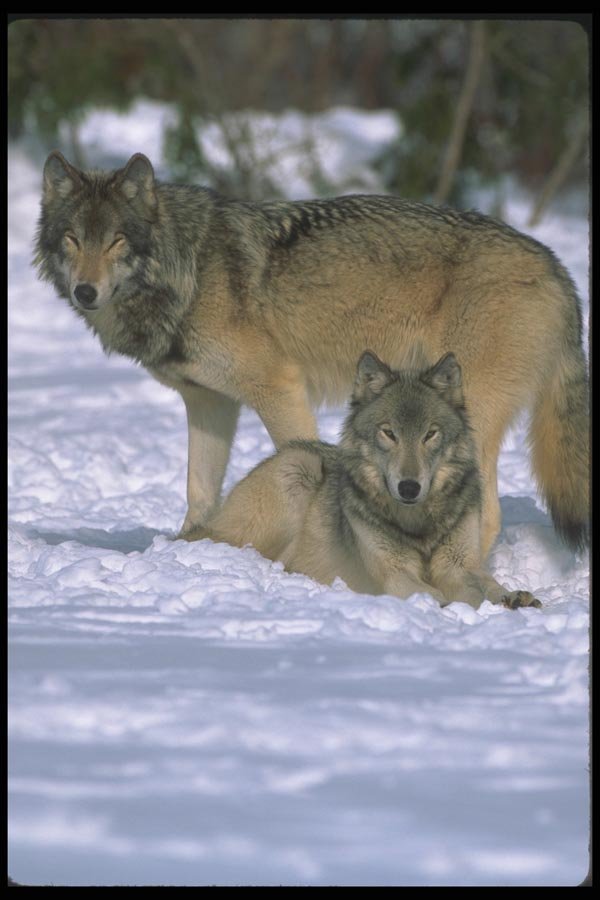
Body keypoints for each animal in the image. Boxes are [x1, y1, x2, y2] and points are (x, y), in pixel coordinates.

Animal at [34, 151, 589, 559]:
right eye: (73, 239)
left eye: (116, 242)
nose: (85, 292)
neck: (188, 270)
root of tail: (557, 267)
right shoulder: (210, 402)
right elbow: (199, 492)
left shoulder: (278, 388)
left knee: (487, 514)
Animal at [183, 351, 541, 609]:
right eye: (389, 433)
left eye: (429, 434)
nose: (409, 487)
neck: (417, 524)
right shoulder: (393, 575)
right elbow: (432, 594)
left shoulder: (460, 566)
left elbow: (486, 585)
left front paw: (512, 597)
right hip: (299, 466)